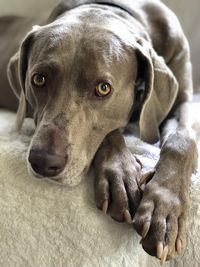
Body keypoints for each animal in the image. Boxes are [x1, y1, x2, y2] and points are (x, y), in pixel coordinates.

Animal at [0, 0, 198, 264]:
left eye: (104, 88)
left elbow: (182, 141)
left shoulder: (183, 102)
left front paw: (164, 211)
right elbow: (107, 131)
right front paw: (120, 176)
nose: (43, 161)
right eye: (39, 79)